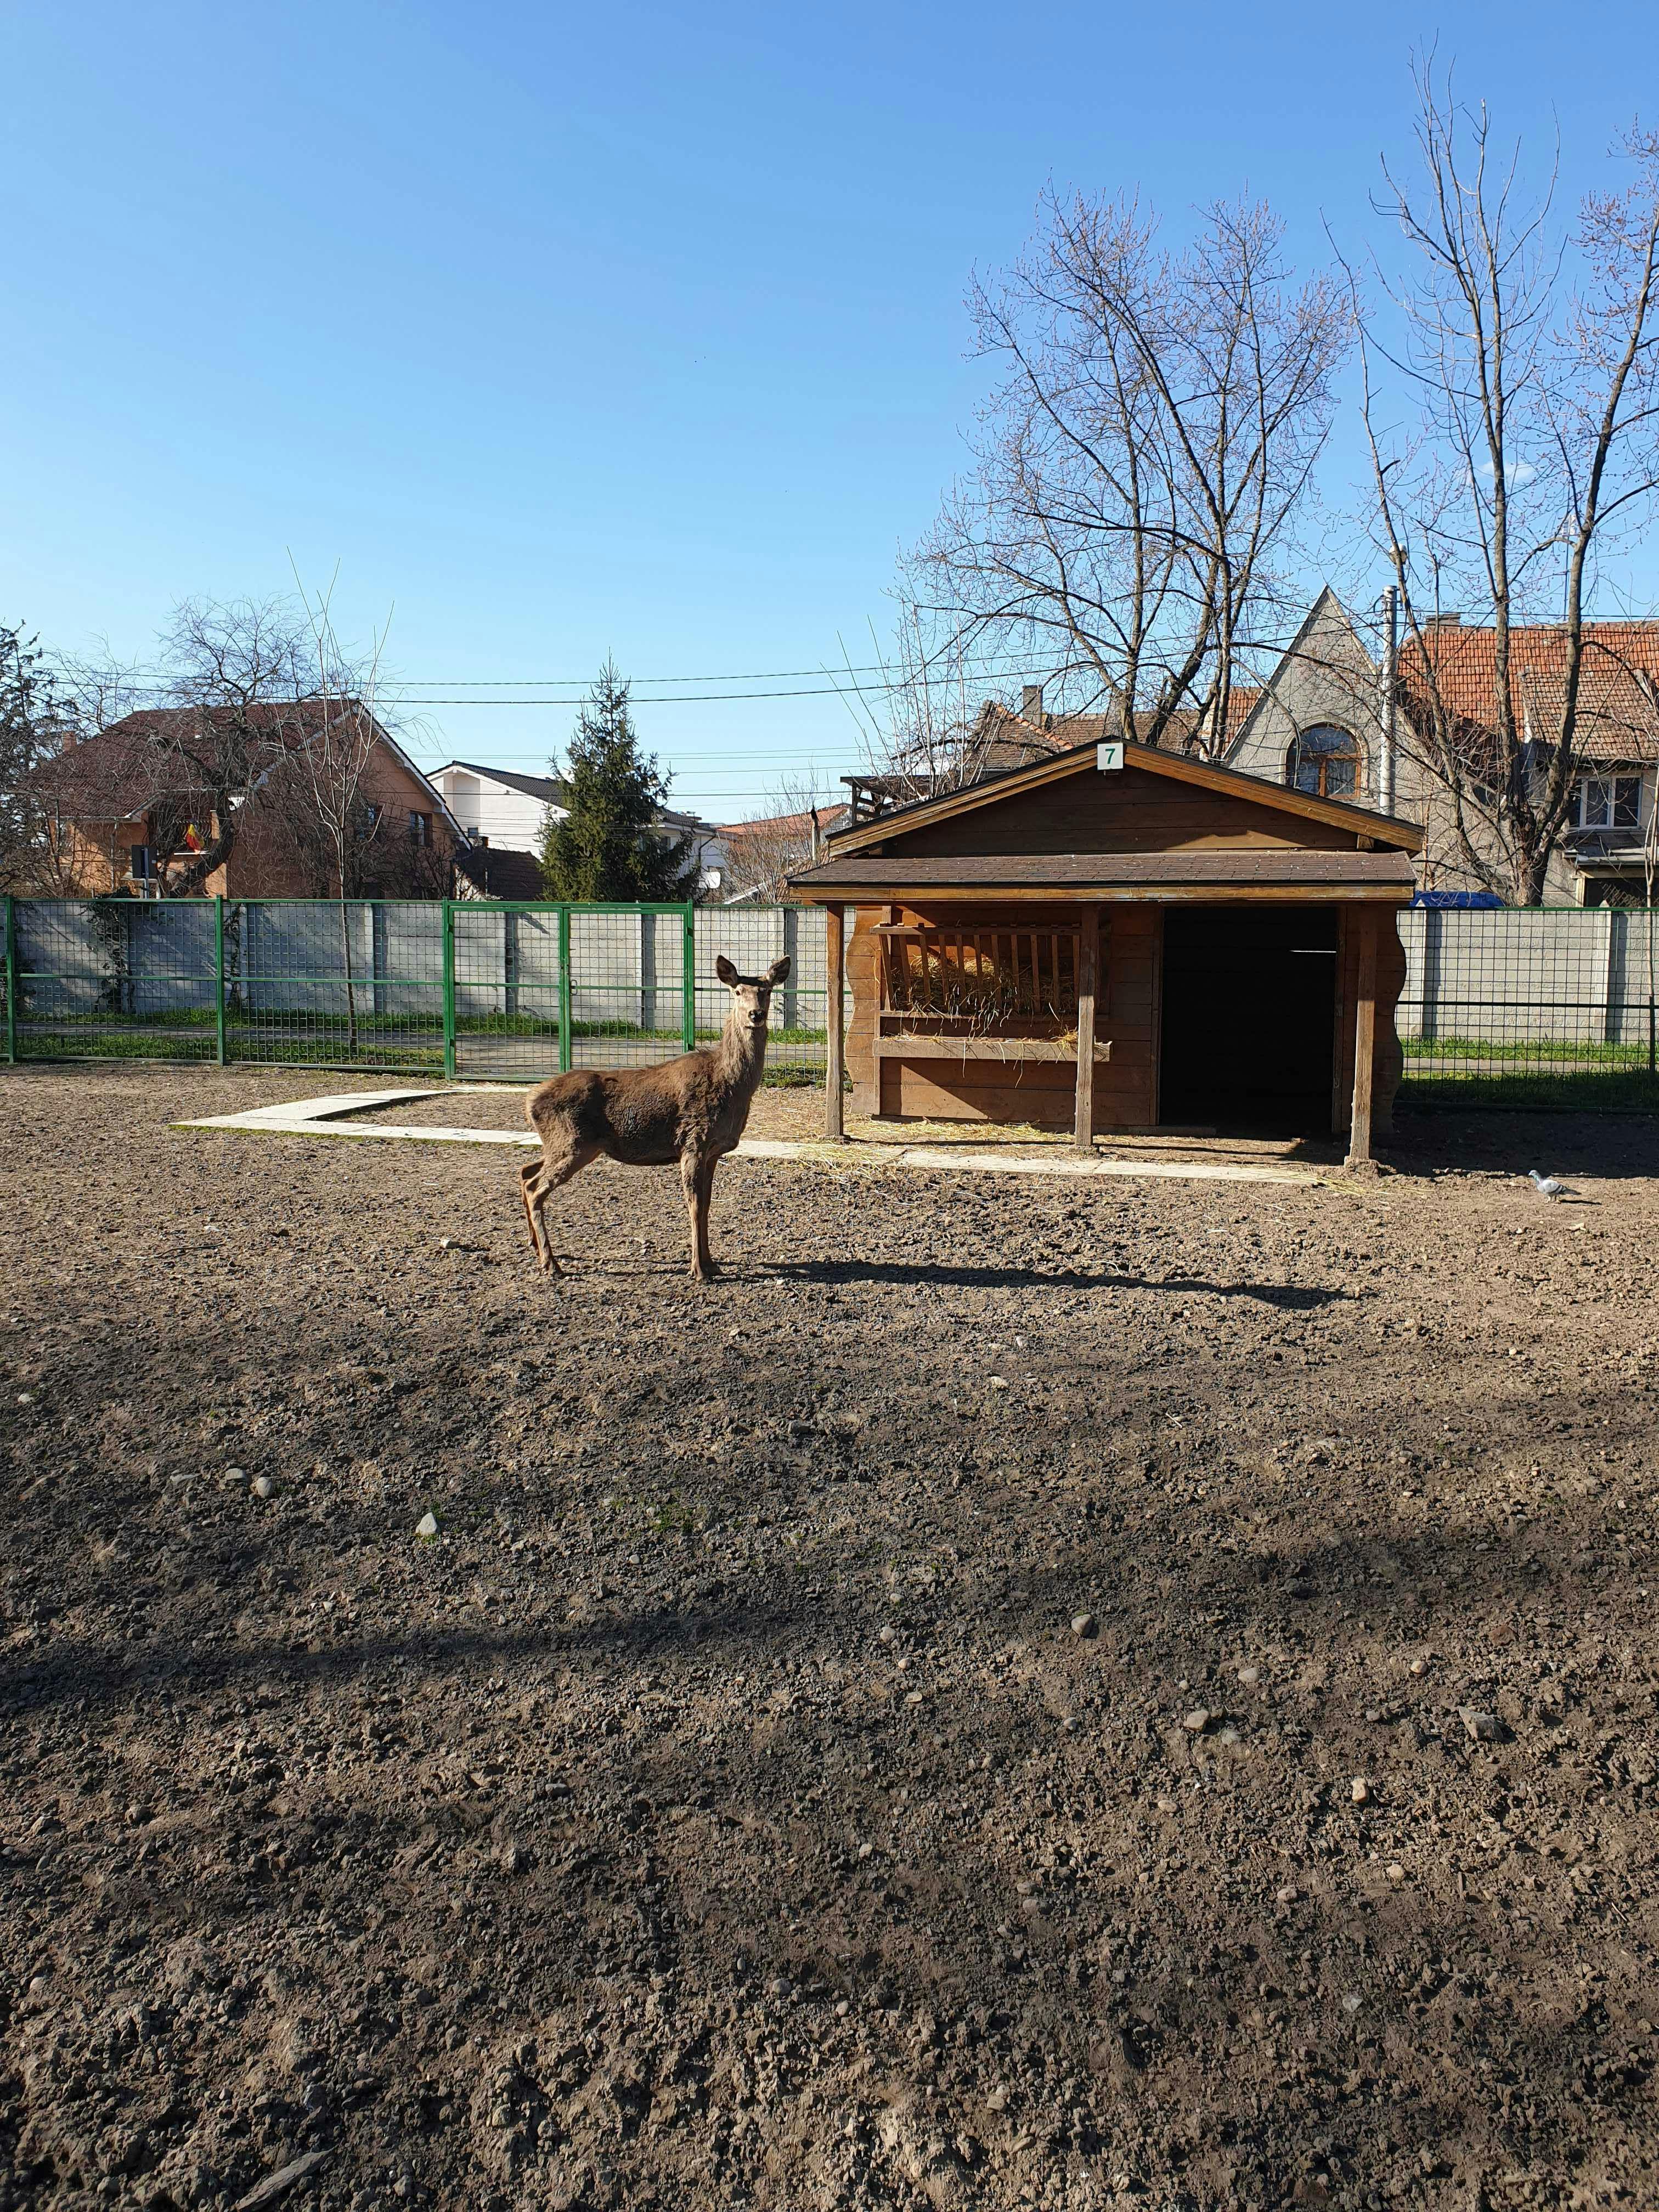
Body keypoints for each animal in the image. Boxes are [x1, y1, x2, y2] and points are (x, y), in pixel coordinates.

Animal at [520, 954, 791, 1283]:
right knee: (535, 1188)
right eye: (738, 991)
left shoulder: (713, 1151)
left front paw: (712, 1263)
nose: (756, 1014)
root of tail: (530, 1100)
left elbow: (707, 1205)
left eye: (767, 990)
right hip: (572, 1143)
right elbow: (695, 1205)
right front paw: (698, 1270)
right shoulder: (693, 1140)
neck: (729, 1085)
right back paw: (551, 1264)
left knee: (525, 1172)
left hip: (570, 1146)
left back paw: (535, 1247)